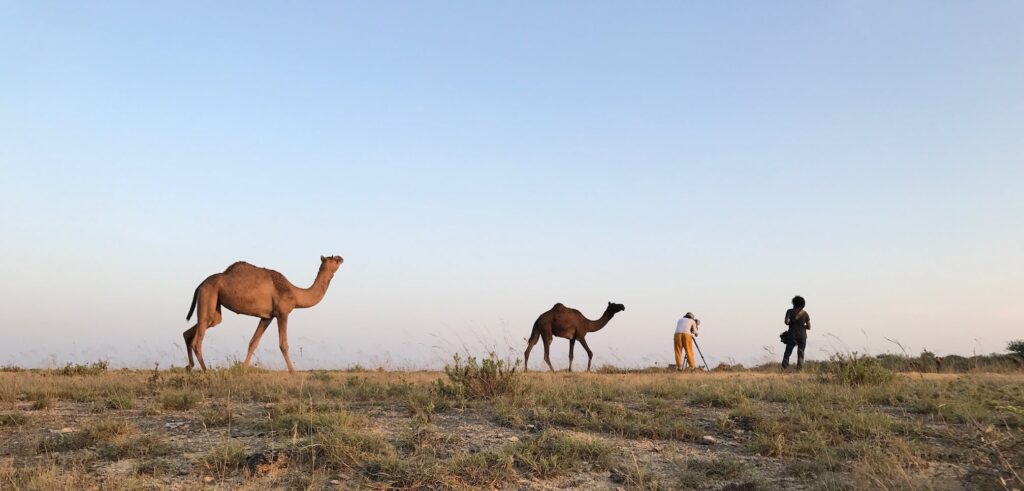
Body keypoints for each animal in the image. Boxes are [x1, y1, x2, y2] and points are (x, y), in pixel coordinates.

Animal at [183, 255, 343, 373]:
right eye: (334, 259)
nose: (341, 258)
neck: (295, 294)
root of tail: (201, 284)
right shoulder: (282, 313)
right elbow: (283, 345)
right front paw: (293, 372)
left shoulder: (267, 317)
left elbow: (253, 342)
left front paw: (243, 370)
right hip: (208, 294)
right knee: (198, 338)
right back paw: (205, 370)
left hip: (214, 305)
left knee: (193, 330)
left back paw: (189, 367)